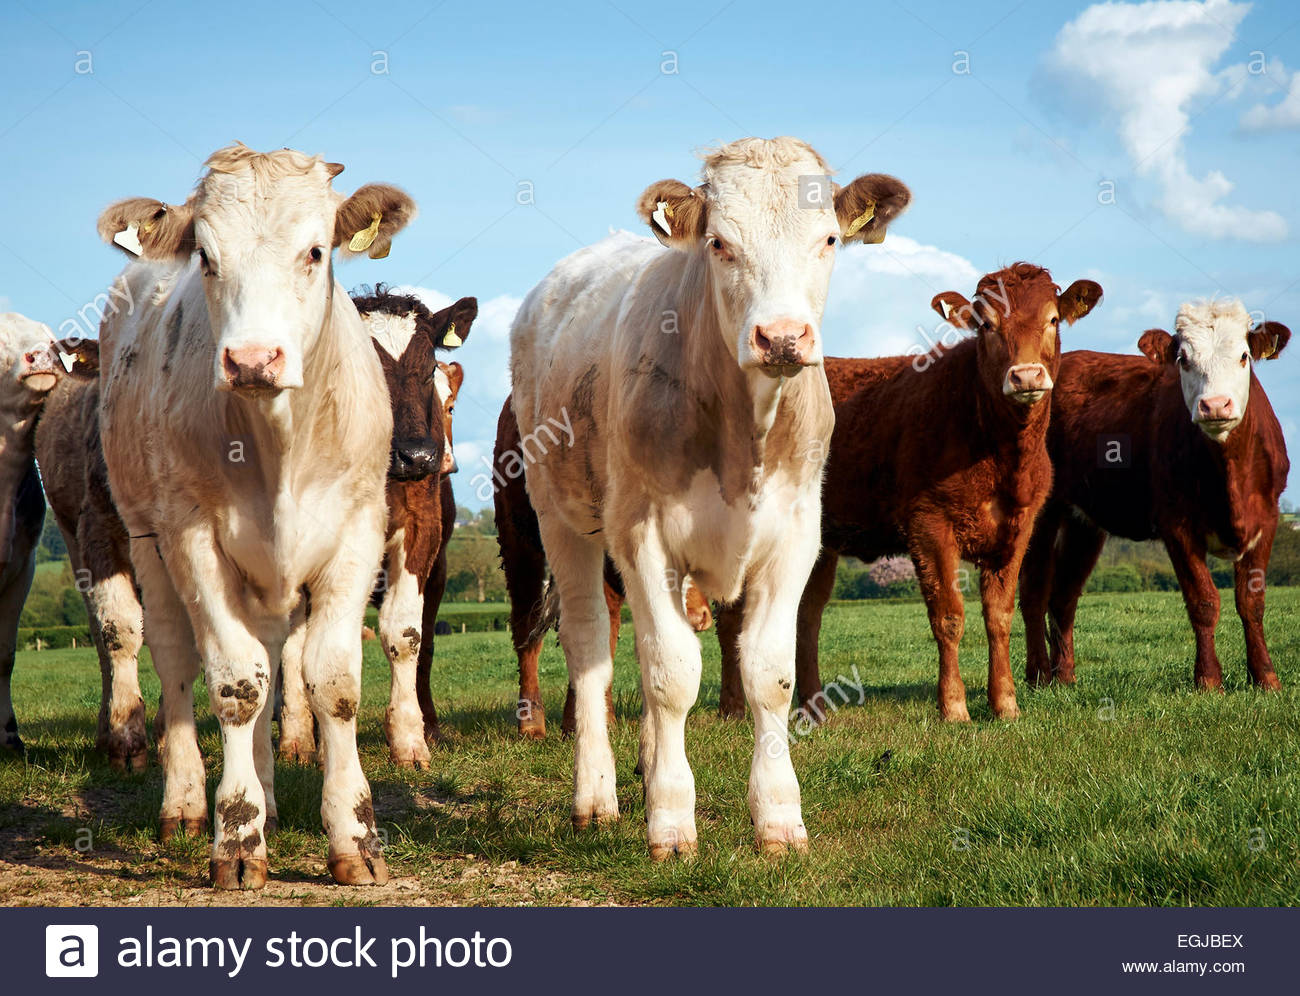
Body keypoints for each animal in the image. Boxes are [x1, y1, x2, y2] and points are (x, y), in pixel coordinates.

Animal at [95, 143, 414, 889]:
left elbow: (331, 682)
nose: (251, 359)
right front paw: (237, 837)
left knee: (273, 659)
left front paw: (355, 836)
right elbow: (237, 685)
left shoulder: (358, 530)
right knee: (179, 661)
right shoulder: (193, 539)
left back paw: (267, 795)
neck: (278, 444)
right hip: (146, 534)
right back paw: (187, 803)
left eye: (316, 251)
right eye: (207, 258)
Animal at [278, 287, 476, 769]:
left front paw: (409, 738)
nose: (417, 455)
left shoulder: (421, 531)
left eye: (429, 368)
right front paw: (305, 737)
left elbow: (406, 636)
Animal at [717, 264, 1103, 724]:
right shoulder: (928, 523)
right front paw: (953, 706)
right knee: (731, 616)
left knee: (805, 617)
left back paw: (813, 707)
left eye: (1053, 320)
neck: (1001, 454)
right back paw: (733, 708)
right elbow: (949, 616)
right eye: (986, 325)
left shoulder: (1018, 527)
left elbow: (1000, 616)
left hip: (819, 542)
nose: (1026, 375)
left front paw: (1005, 703)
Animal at [1019, 300, 1290, 690]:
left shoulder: (1266, 520)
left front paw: (1266, 678)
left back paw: (1065, 677)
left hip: (1084, 523)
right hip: (1043, 511)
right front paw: (1209, 680)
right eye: (1183, 359)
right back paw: (1038, 675)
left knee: (1063, 596)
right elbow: (1203, 601)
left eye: (1243, 356)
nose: (1215, 405)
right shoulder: (1177, 525)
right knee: (1034, 591)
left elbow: (1251, 602)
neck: (1230, 474)